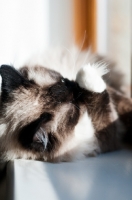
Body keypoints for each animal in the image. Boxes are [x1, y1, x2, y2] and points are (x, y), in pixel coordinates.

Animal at [0, 48, 131, 162]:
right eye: (73, 105)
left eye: (63, 81)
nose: (76, 88)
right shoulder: (105, 139)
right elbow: (101, 103)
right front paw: (87, 75)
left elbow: (123, 103)